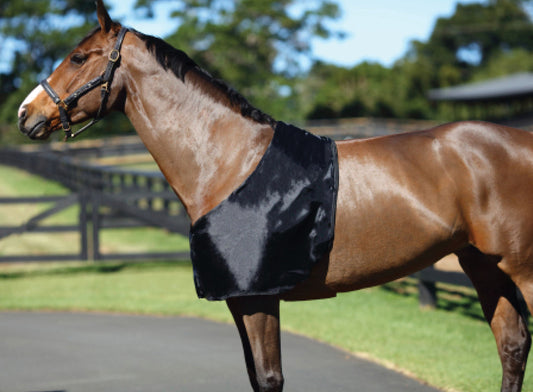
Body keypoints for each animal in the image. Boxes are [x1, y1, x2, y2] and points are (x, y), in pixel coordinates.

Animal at [14, 1, 532, 390]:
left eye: (79, 58)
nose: (25, 113)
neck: (228, 161)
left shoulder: (259, 298)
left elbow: (269, 378)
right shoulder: (241, 300)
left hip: (520, 268)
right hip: (483, 264)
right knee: (511, 346)